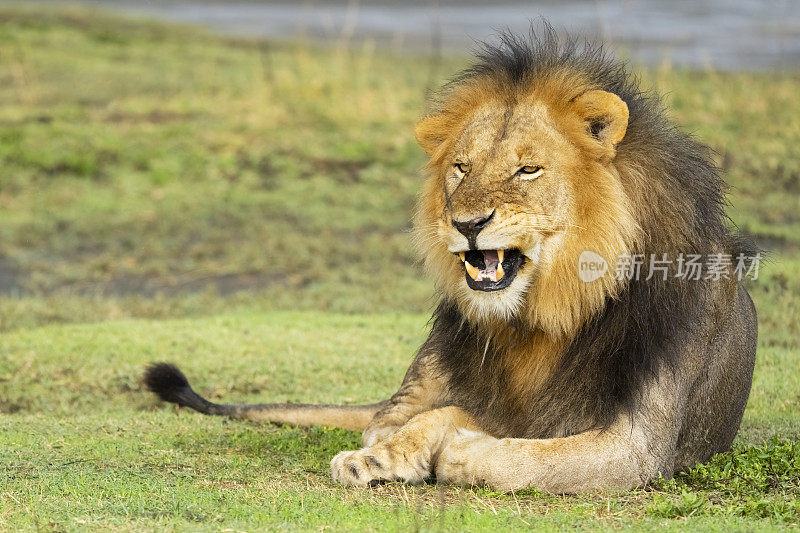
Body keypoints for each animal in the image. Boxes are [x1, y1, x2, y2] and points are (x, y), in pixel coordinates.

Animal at [144, 26, 756, 490]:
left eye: (527, 169)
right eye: (461, 168)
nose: (466, 224)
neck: (546, 313)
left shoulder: (638, 445)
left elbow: (525, 452)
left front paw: (463, 451)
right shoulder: (423, 405)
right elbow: (431, 418)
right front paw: (387, 454)